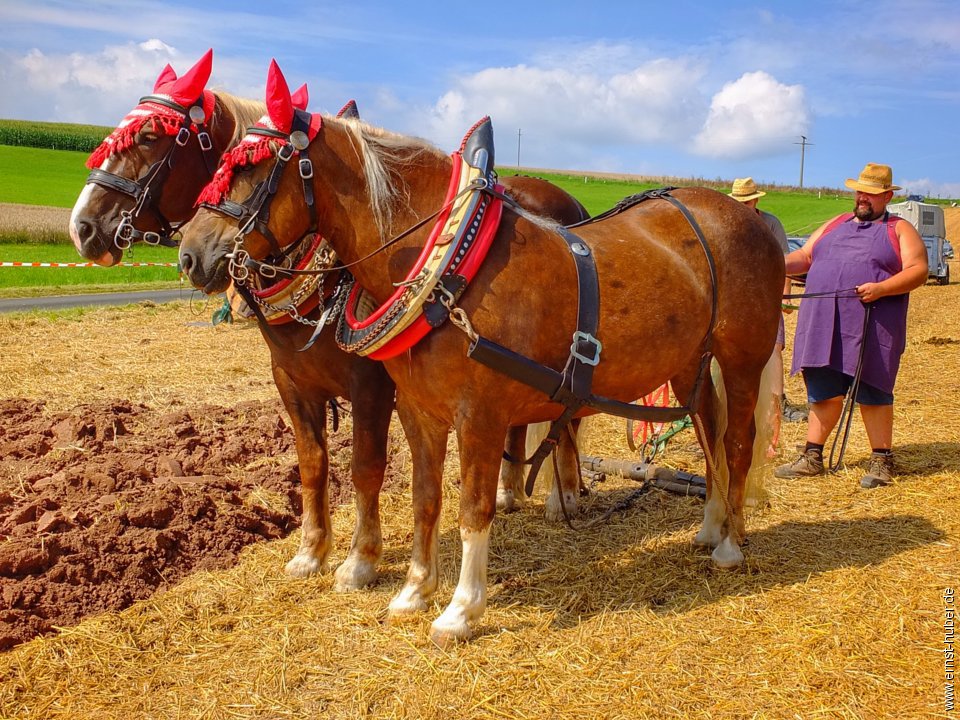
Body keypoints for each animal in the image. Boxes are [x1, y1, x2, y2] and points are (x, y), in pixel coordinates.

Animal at [67, 50, 588, 592]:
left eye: (150, 136)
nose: (82, 228)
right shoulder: (292, 381)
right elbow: (313, 464)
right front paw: (311, 551)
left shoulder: (372, 385)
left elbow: (365, 467)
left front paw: (360, 560)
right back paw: (509, 491)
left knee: (568, 419)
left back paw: (563, 496)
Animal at [182, 64, 788, 644]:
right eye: (223, 159)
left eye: (255, 166)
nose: (191, 254)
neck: (450, 270)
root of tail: (743, 216)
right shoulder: (417, 410)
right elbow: (425, 498)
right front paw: (413, 592)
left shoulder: (480, 417)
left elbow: (473, 509)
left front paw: (460, 611)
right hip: (689, 361)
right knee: (707, 426)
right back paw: (710, 526)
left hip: (743, 356)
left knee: (736, 441)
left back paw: (732, 544)